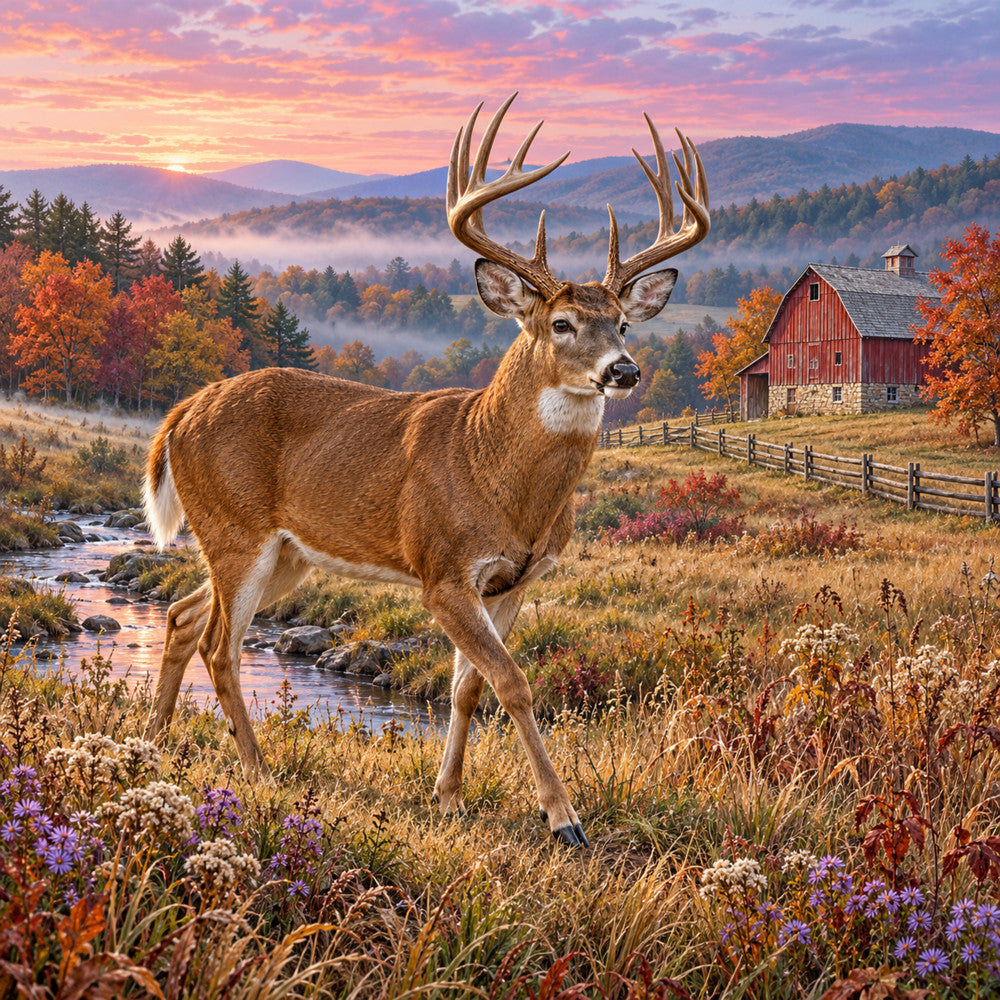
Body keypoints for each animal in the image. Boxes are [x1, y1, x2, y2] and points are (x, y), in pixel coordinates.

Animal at [142, 94, 709, 847]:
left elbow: (467, 686)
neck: (496, 474)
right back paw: (258, 770)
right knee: (219, 645)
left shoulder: (513, 579)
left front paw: (449, 797)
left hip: (284, 553)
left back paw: (154, 737)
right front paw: (564, 818)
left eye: (622, 322)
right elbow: (513, 683)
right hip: (236, 528)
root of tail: (180, 413)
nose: (624, 371)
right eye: (561, 323)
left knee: (181, 616)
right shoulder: (441, 570)